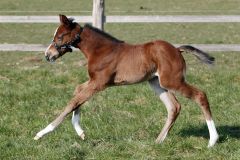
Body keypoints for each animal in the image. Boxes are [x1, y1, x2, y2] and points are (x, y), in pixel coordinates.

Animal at [34, 15, 219, 148]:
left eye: (60, 37)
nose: (48, 55)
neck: (101, 50)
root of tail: (176, 49)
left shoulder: (98, 83)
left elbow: (72, 102)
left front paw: (41, 133)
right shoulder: (93, 81)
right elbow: (77, 93)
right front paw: (81, 132)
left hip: (172, 81)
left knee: (200, 95)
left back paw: (212, 140)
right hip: (157, 83)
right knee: (174, 107)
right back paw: (158, 141)